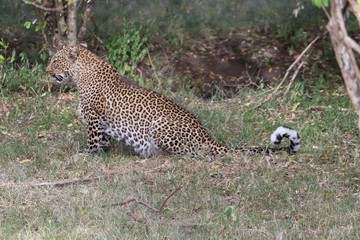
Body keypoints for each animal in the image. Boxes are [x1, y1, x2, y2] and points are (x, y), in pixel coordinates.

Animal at [46, 46, 300, 158]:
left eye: (55, 61)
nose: (47, 71)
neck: (81, 74)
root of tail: (207, 135)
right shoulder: (102, 123)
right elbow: (103, 142)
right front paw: (102, 154)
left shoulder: (94, 118)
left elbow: (92, 141)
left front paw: (86, 156)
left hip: (160, 127)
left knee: (190, 154)